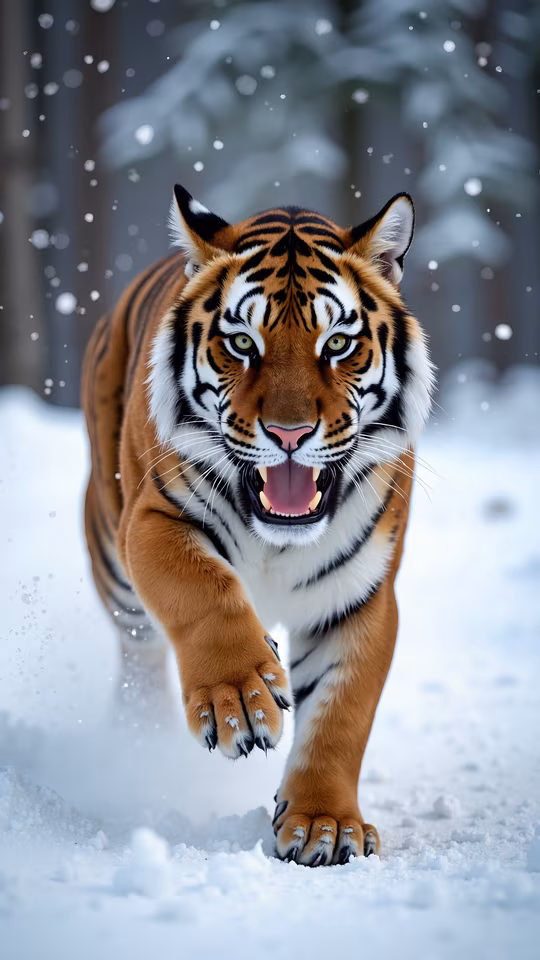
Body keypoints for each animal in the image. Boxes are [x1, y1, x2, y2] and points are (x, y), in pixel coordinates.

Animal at [81, 183, 434, 866]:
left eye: (338, 344)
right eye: (242, 344)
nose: (289, 434)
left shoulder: (360, 595)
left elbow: (341, 714)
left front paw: (326, 825)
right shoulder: (153, 518)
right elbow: (203, 593)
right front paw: (240, 701)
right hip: (111, 550)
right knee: (137, 648)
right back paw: (137, 736)